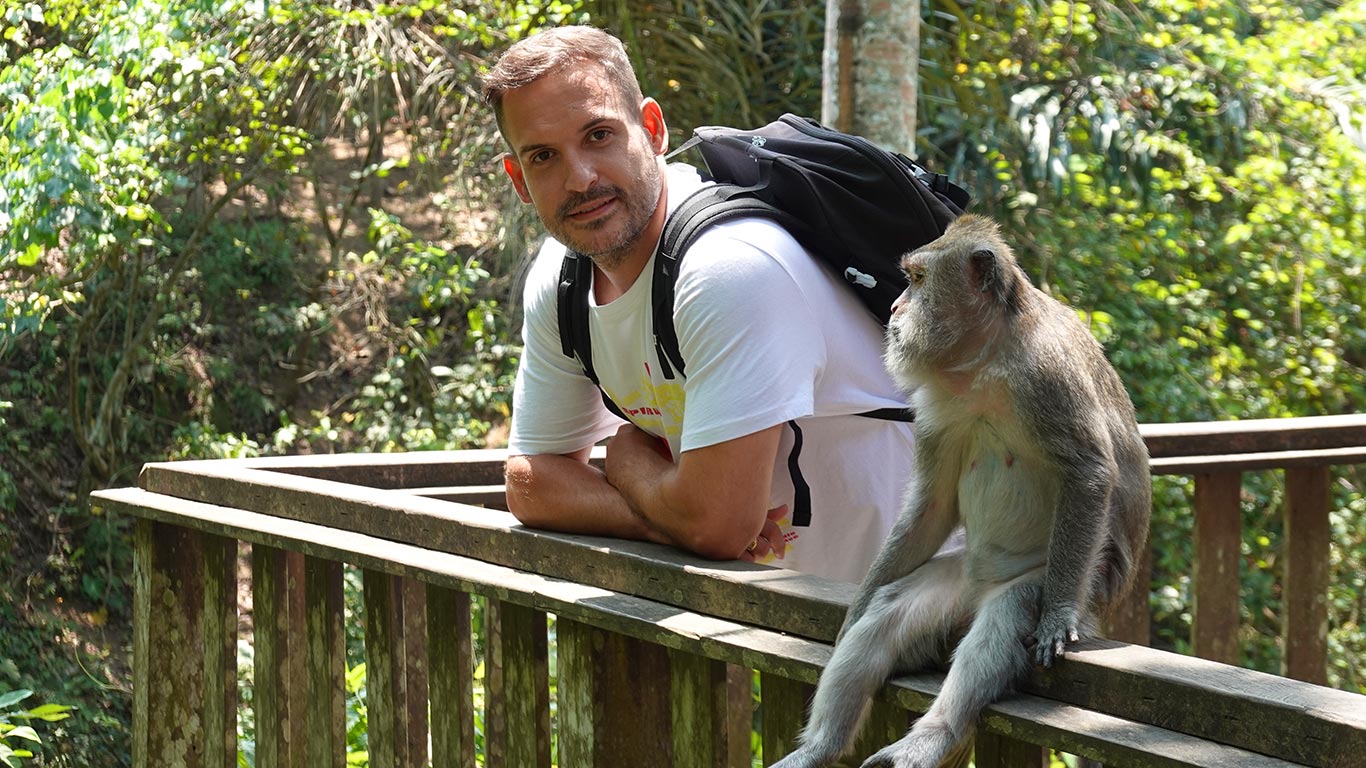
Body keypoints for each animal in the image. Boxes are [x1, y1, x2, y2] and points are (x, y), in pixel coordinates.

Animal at [770, 214, 1151, 768]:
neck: (984, 361)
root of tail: (975, 594)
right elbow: (931, 506)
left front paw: (1057, 614)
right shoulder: (934, 404)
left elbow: (1089, 472)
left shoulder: (1046, 376)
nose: (895, 307)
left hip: (1054, 582)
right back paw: (819, 747)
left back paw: (936, 733)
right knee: (889, 612)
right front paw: (853, 612)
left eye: (917, 279)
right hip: (958, 581)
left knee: (1003, 620)